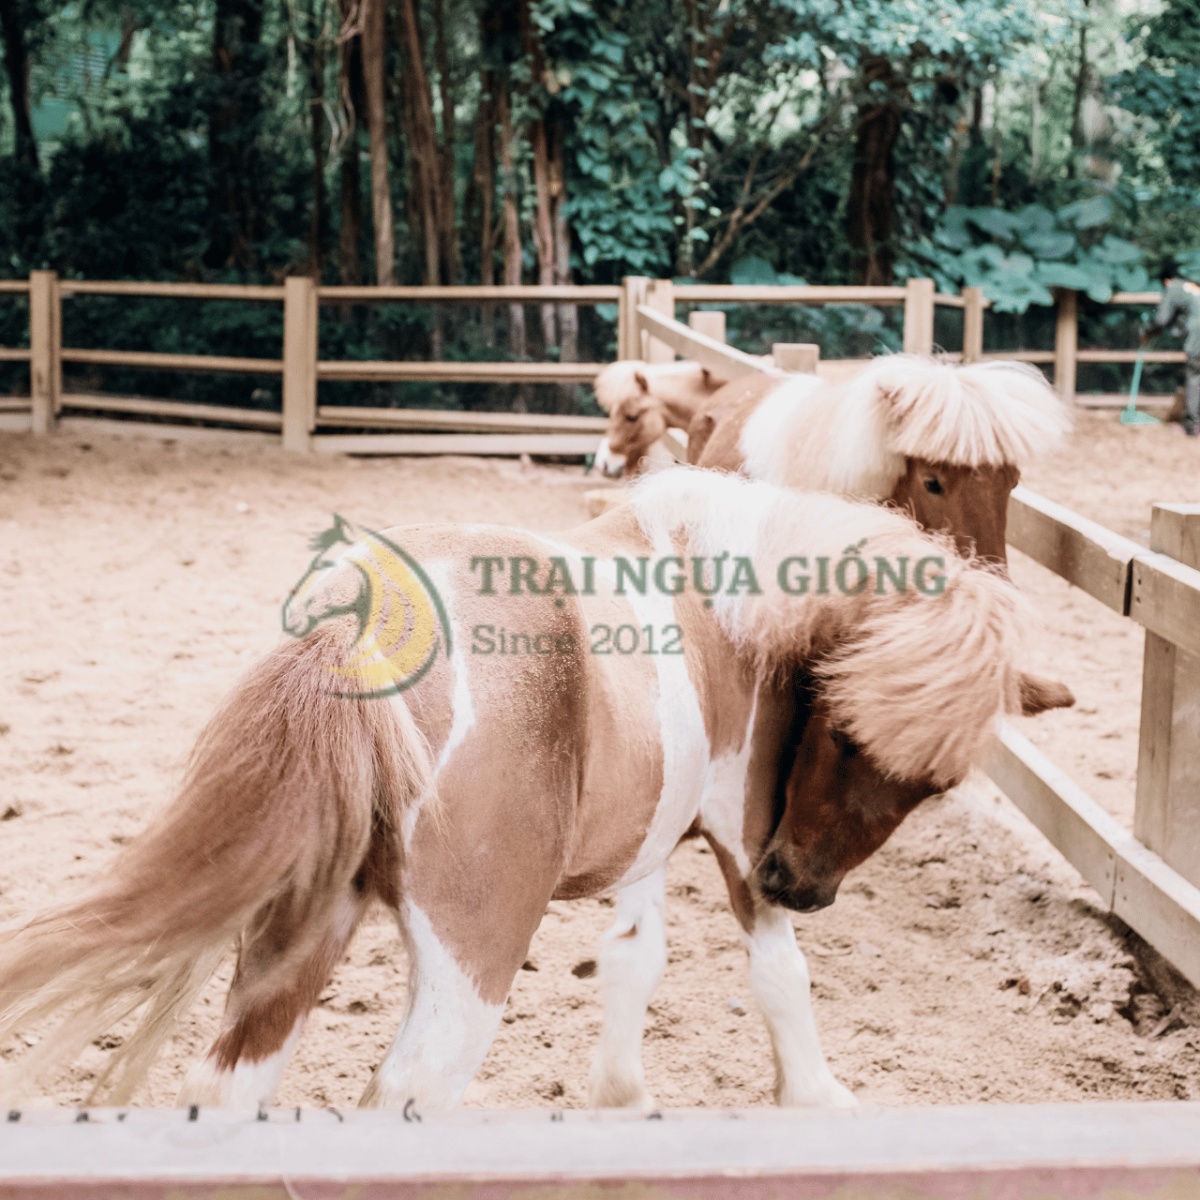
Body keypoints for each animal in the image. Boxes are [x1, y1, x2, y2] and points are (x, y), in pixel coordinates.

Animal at [0, 471, 1067, 1111]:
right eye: (842, 729)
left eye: (937, 783)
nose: (802, 883)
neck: (732, 610)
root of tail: (360, 629)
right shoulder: (734, 839)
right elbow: (780, 975)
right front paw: (816, 1099)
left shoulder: (654, 840)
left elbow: (634, 960)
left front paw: (623, 1100)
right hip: (472, 962)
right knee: (404, 1101)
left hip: (300, 933)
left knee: (228, 1087)